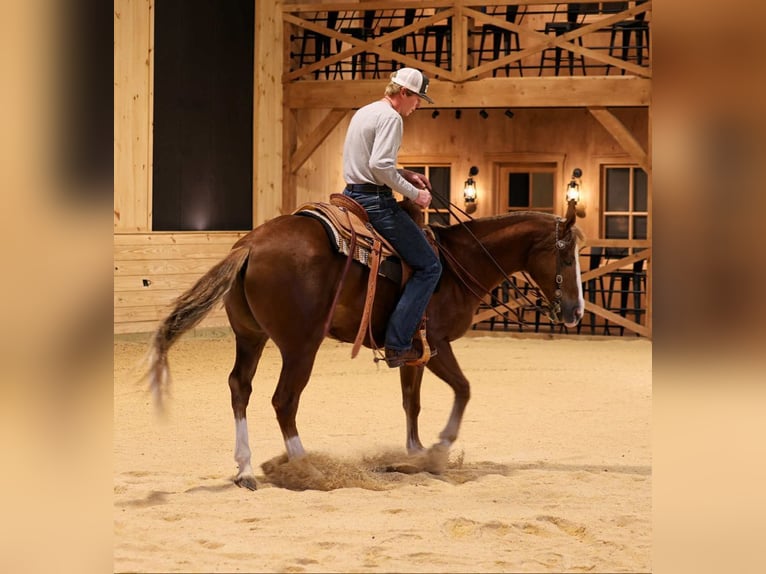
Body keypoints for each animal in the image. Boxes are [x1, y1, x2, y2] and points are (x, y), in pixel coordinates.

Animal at [146, 199, 585, 490]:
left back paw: (246, 469)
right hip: (301, 345)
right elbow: (463, 389)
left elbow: (412, 402)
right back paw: (307, 468)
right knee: (284, 400)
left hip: (251, 337)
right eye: (566, 258)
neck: (457, 263)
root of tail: (248, 245)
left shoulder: (413, 351)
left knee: (241, 387)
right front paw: (439, 449)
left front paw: (414, 454)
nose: (576, 311)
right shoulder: (437, 344)